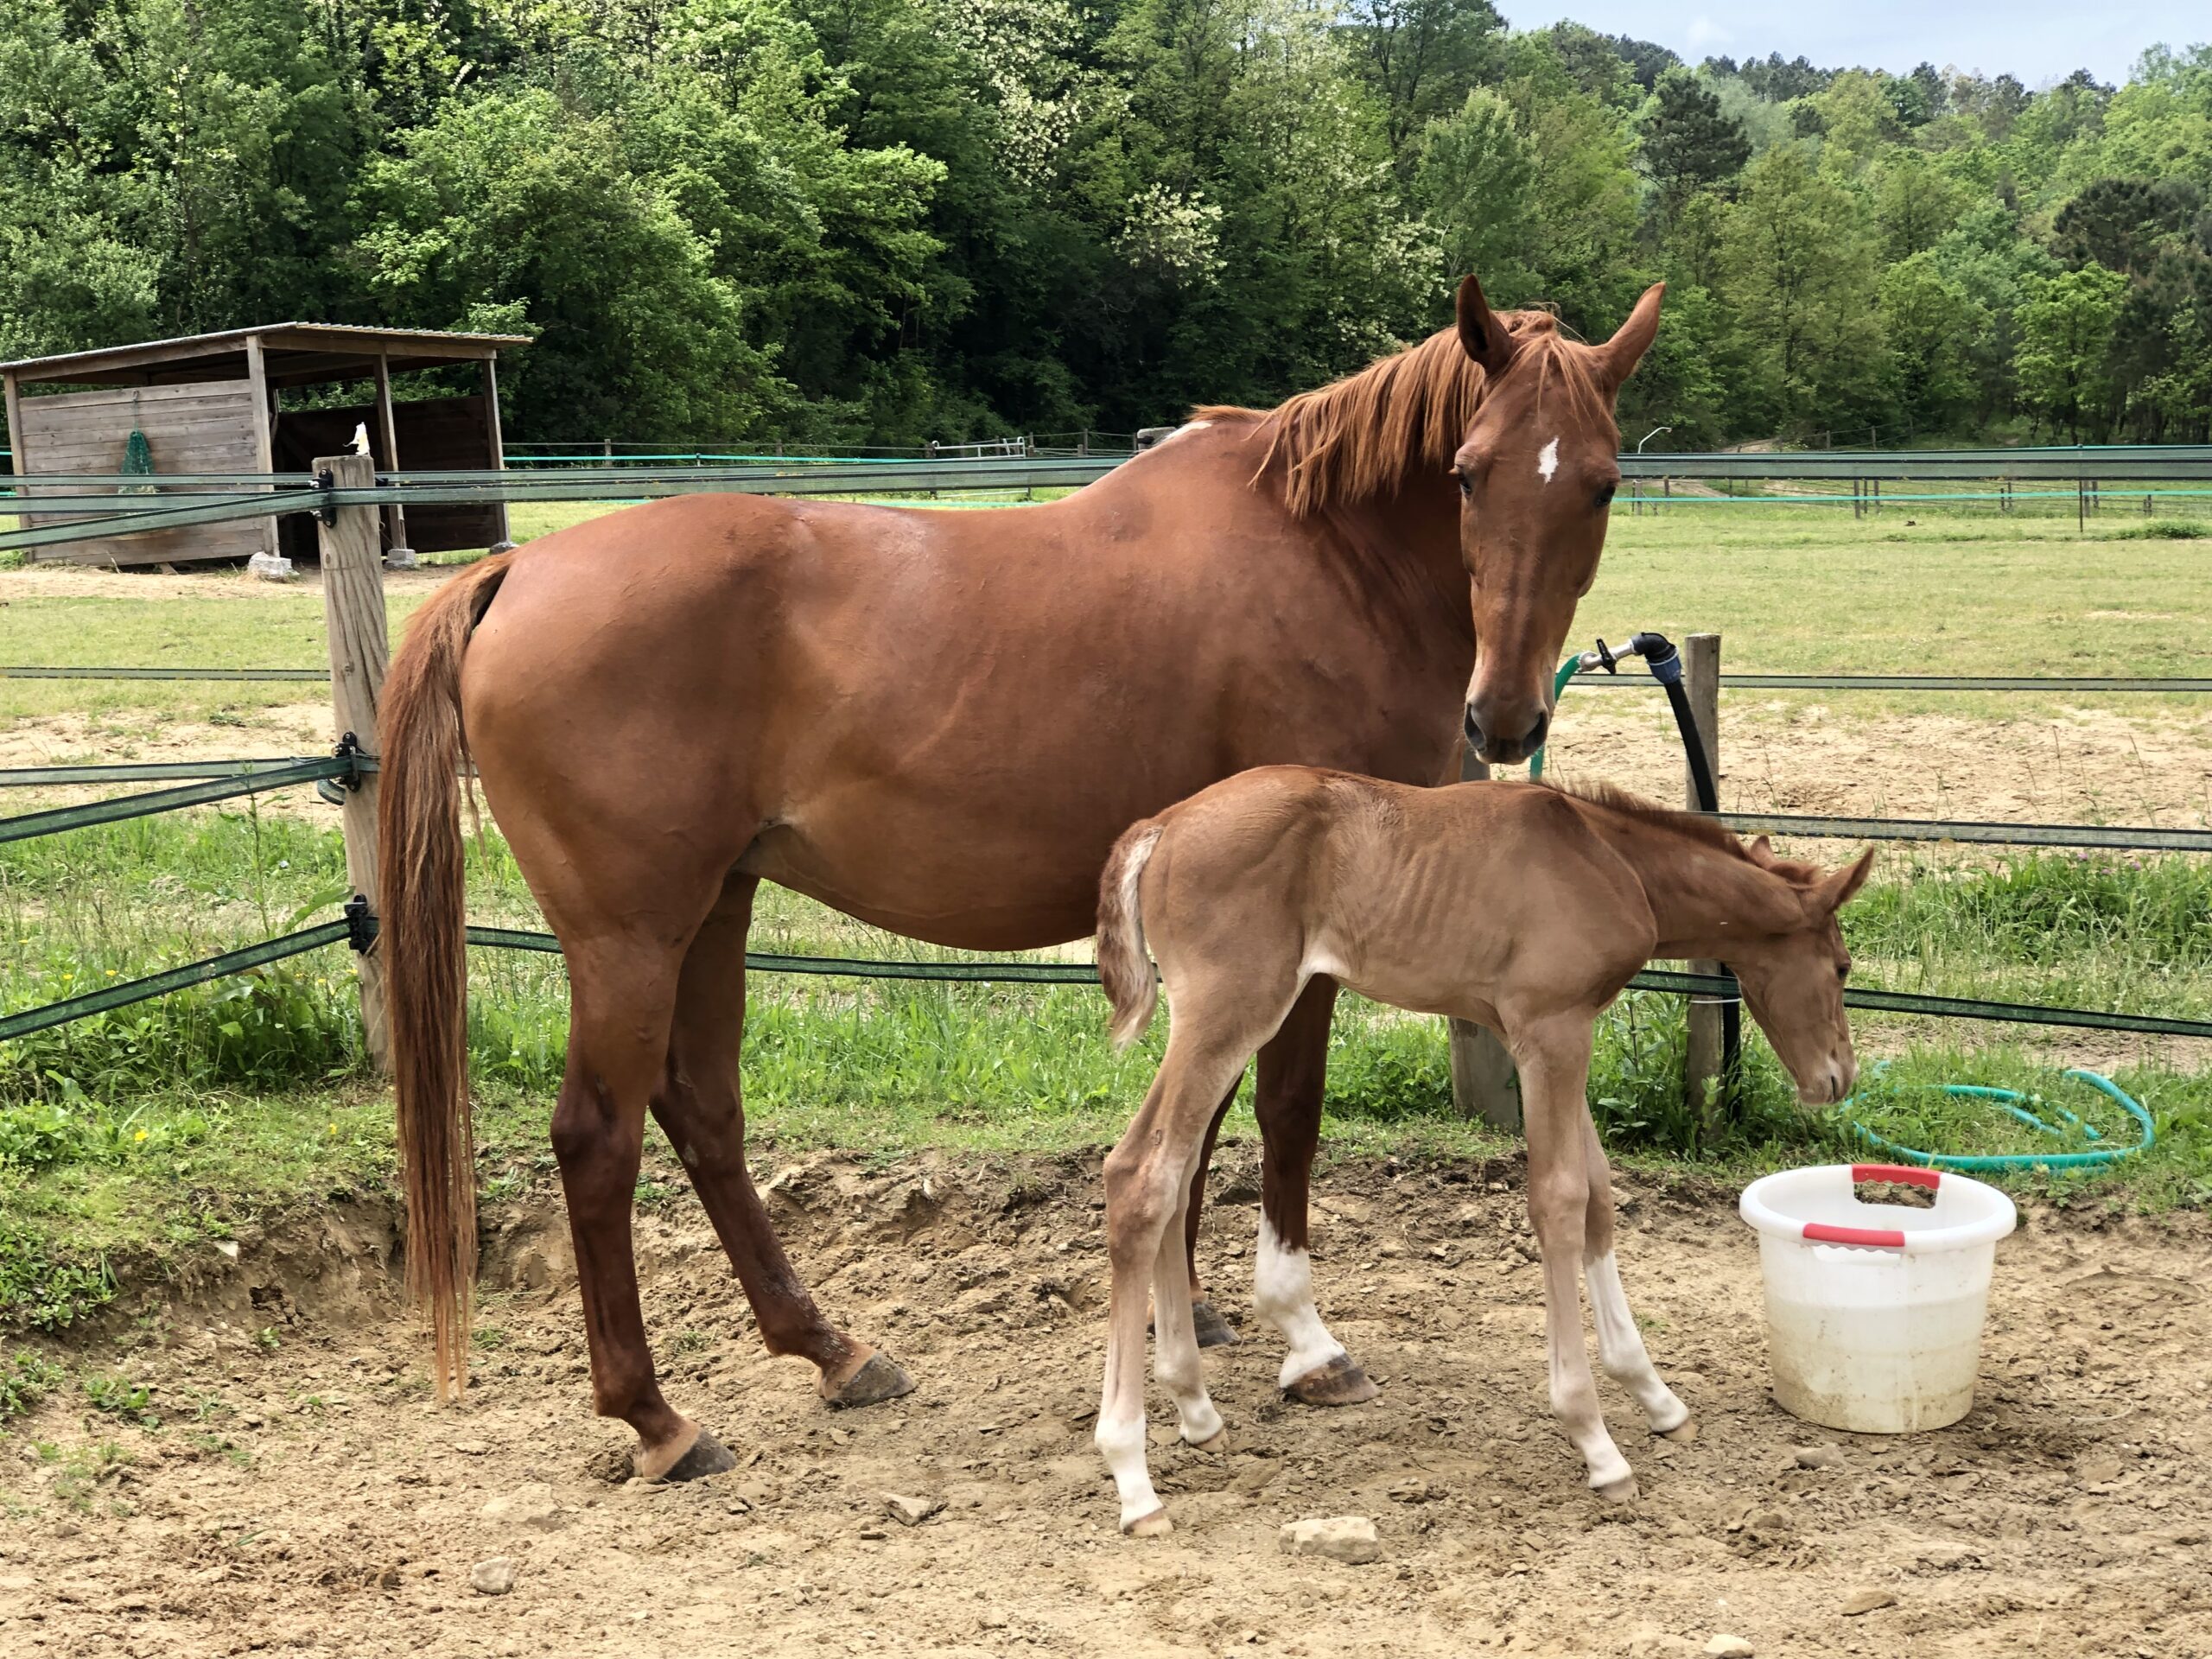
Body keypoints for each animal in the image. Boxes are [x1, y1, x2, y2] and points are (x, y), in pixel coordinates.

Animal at [376, 273, 1665, 1482]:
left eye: (1602, 483)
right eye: (1467, 473)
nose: (1505, 716)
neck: (1326, 559)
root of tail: (516, 570)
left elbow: (1198, 1131)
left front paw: (1188, 1316)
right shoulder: (1302, 930)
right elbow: (1285, 1111)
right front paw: (1302, 1340)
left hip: (716, 908)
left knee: (703, 1111)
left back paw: (831, 1351)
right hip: (630, 935)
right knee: (598, 1138)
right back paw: (656, 1418)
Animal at [1091, 769, 1871, 1533]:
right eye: (1841, 965)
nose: (1838, 1077)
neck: (1610, 859)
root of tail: (1162, 825)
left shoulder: (1555, 1033)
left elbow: (1598, 1195)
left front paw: (1656, 1397)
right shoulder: (1552, 1030)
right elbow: (1559, 1200)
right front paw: (1596, 1441)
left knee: (1176, 1170)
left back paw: (1196, 1410)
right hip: (1233, 1007)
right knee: (1141, 1174)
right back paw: (1133, 1477)